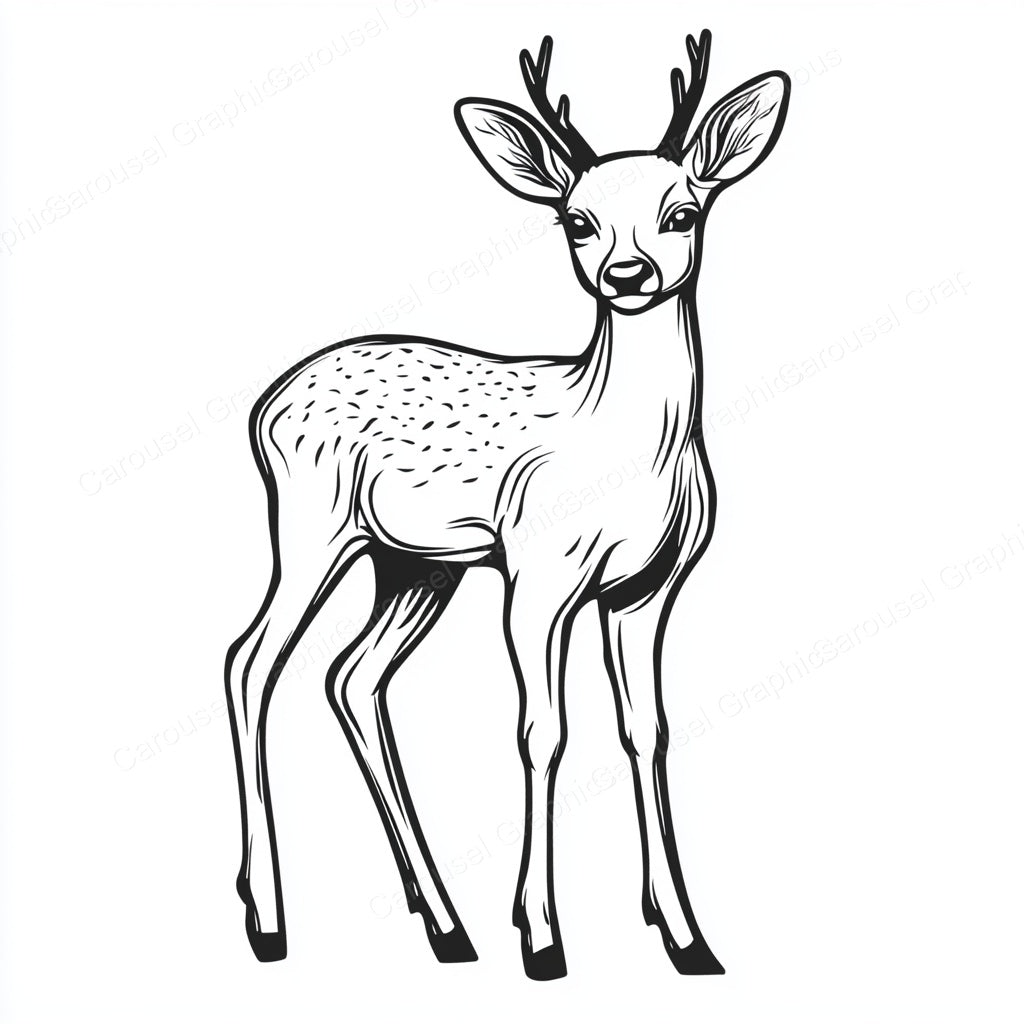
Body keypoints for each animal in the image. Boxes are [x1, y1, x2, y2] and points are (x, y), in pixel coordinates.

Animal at [225, 29, 790, 980]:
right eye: (577, 221)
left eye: (684, 212)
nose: (627, 273)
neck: (626, 451)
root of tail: (263, 406)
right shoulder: (537, 572)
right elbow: (542, 732)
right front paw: (542, 936)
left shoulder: (646, 589)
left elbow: (648, 729)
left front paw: (685, 935)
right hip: (310, 525)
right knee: (250, 662)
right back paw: (268, 918)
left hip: (415, 566)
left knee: (352, 676)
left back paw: (445, 924)